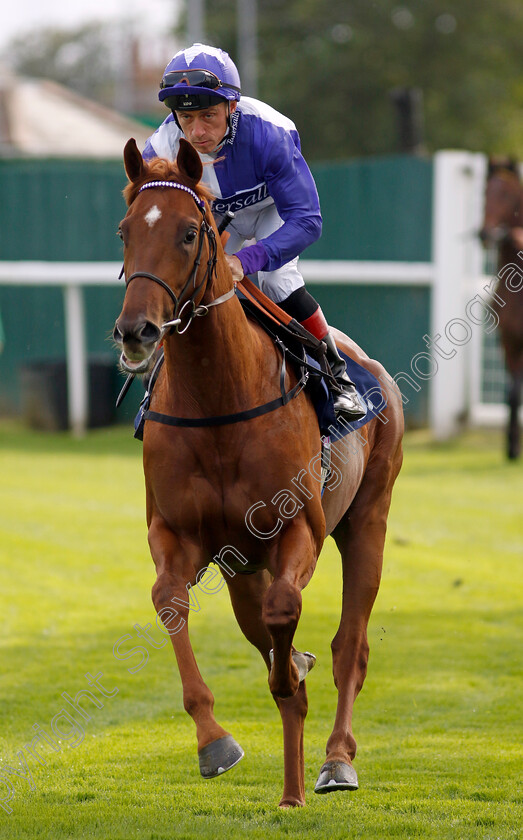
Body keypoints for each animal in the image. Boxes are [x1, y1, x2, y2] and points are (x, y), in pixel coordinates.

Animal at [112, 138, 404, 808]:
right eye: (124, 233)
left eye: (189, 233)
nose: (136, 331)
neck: (220, 401)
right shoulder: (181, 535)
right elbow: (170, 600)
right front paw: (214, 741)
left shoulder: (300, 529)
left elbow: (284, 613)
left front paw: (291, 676)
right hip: (239, 565)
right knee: (263, 629)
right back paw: (292, 781)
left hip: (367, 519)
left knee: (350, 645)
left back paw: (333, 762)